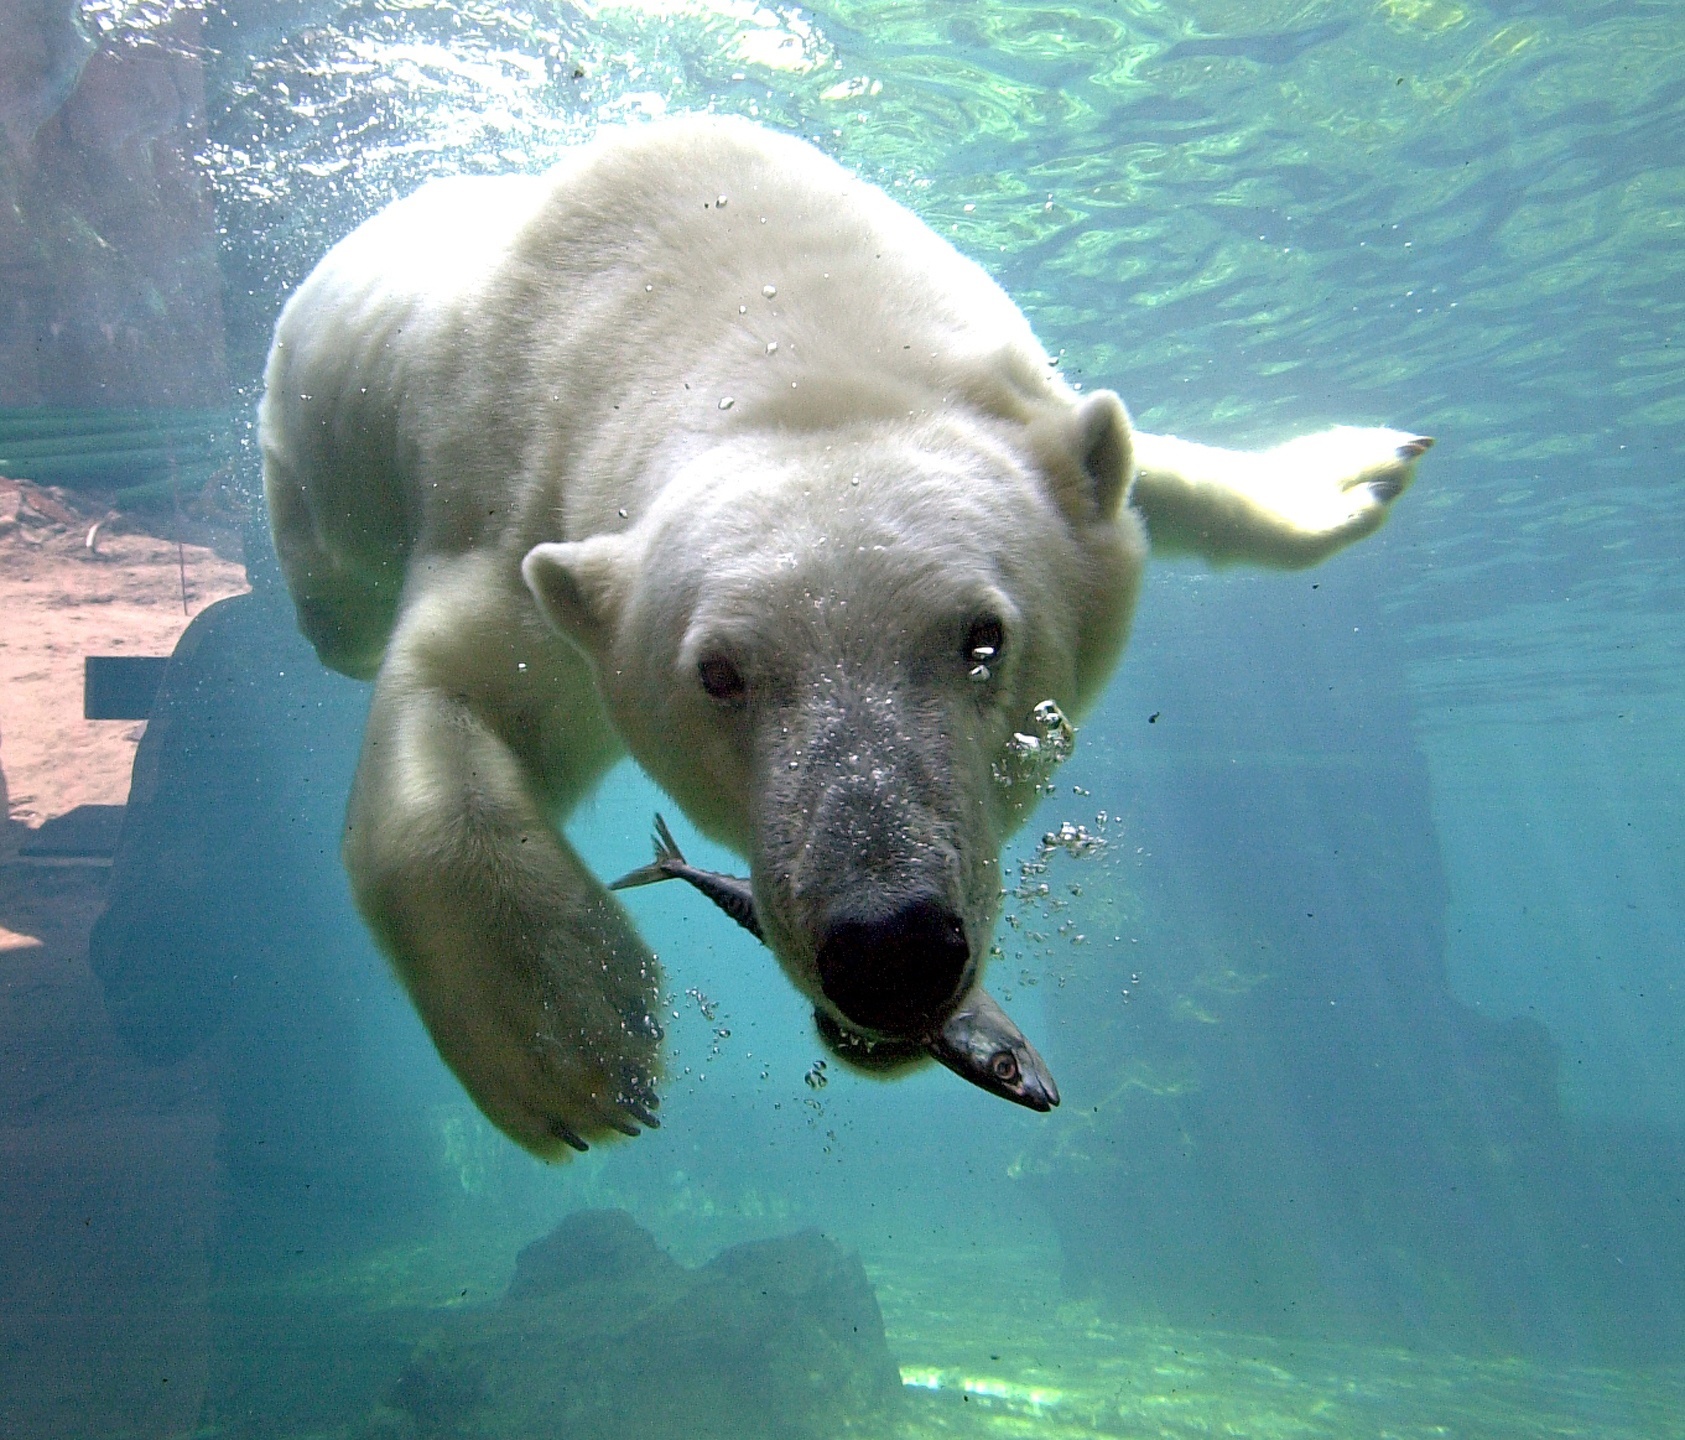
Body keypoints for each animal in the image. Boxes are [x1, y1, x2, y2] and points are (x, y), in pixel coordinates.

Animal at [260, 115, 1429, 1158]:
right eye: (718, 674)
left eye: (982, 638)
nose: (891, 949)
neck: (763, 313)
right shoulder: (518, 511)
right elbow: (451, 692)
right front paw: (570, 1041)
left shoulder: (1014, 403)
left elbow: (1126, 473)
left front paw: (1352, 473)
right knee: (341, 607)